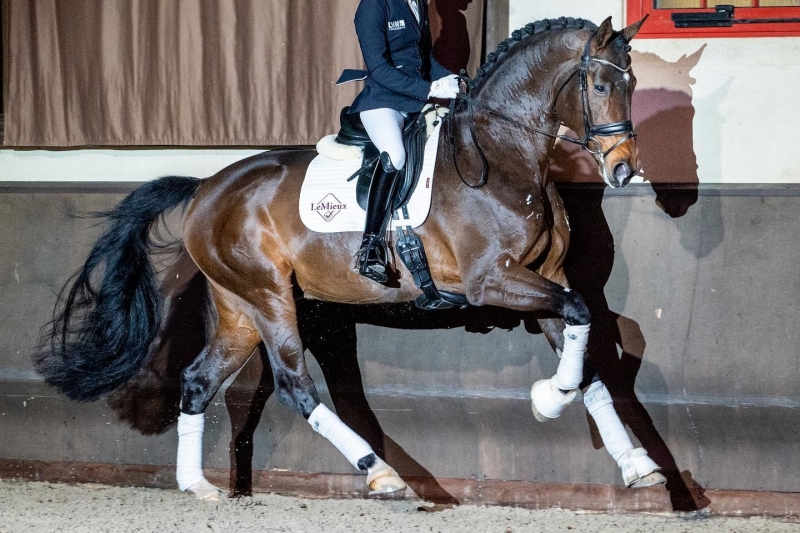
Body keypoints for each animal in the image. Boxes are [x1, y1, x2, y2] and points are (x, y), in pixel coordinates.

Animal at [34, 15, 664, 498]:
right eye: (602, 86)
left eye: (633, 82)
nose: (623, 169)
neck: (505, 155)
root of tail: (205, 188)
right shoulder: (492, 280)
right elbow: (581, 312)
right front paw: (549, 401)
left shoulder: (542, 275)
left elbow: (587, 350)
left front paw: (636, 464)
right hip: (269, 296)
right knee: (295, 386)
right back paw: (382, 475)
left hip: (239, 307)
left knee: (196, 380)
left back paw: (198, 487)